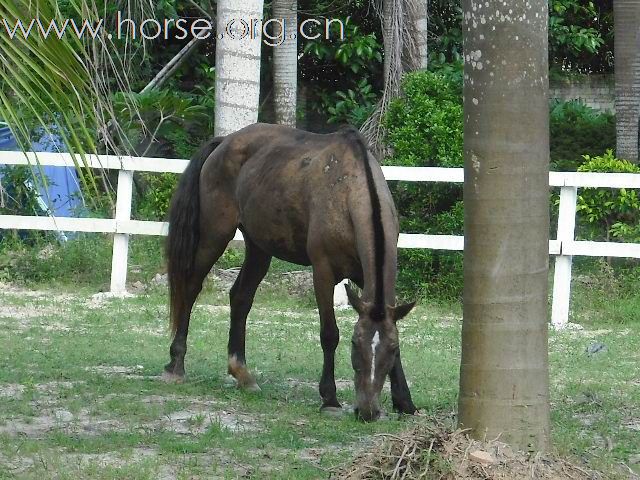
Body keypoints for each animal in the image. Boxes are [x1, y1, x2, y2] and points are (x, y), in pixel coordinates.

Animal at [162, 123, 418, 420]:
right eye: (355, 344)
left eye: (391, 348)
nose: (367, 410)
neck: (347, 192)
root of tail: (225, 141)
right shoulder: (323, 273)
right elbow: (329, 334)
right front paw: (329, 398)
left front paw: (404, 401)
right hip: (214, 235)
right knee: (191, 288)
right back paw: (176, 364)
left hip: (259, 248)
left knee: (240, 298)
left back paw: (242, 373)